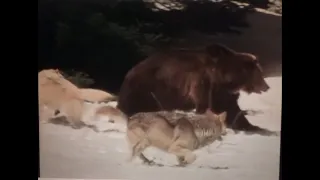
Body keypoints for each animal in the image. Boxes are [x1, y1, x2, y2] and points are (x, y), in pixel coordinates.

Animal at [116, 43, 276, 136]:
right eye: (259, 73)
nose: (267, 86)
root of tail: (128, 74)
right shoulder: (201, 81)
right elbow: (204, 103)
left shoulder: (222, 92)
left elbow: (233, 109)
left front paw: (253, 126)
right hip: (146, 88)